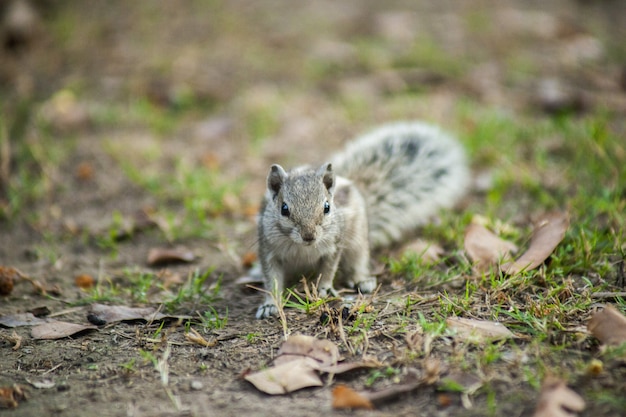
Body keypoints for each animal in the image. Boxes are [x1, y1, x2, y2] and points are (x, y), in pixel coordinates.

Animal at [255, 121, 468, 318]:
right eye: (284, 209)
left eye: (327, 207)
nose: (309, 236)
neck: (303, 248)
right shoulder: (269, 251)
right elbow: (271, 279)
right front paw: (270, 304)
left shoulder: (334, 245)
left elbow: (328, 270)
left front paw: (324, 288)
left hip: (357, 243)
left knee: (357, 262)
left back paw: (362, 280)